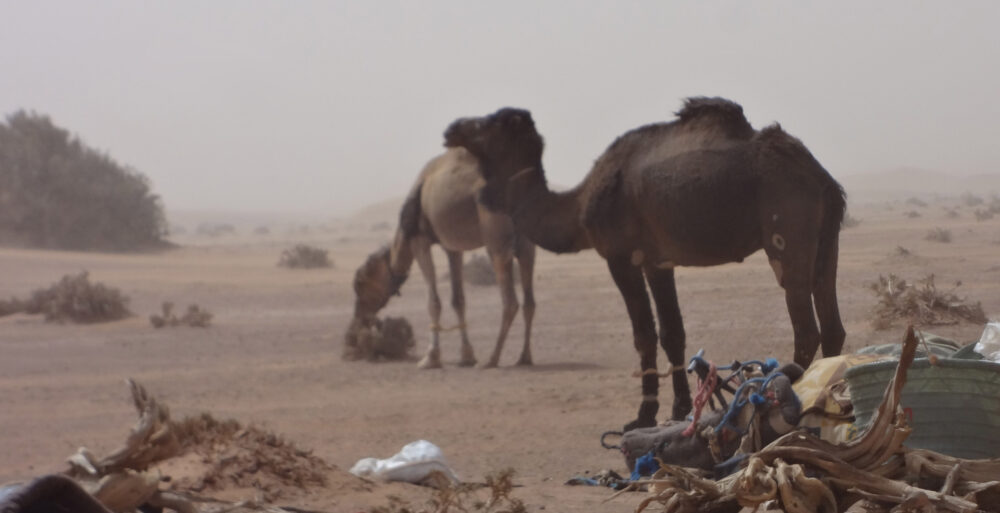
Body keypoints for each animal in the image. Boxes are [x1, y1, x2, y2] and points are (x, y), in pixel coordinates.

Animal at [354, 146, 540, 366]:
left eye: (359, 285)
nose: (359, 316)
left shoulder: (419, 240)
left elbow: (433, 302)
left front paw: (430, 357)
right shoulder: (453, 248)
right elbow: (458, 300)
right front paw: (467, 356)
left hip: (496, 240)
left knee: (510, 302)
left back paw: (492, 359)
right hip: (526, 242)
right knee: (529, 301)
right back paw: (524, 357)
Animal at [444, 98, 844, 430]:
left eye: (488, 123)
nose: (452, 128)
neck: (578, 206)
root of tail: (822, 177)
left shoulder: (621, 256)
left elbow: (644, 334)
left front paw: (643, 414)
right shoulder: (657, 260)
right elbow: (672, 332)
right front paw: (679, 409)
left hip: (786, 230)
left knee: (806, 326)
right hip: (828, 238)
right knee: (831, 322)